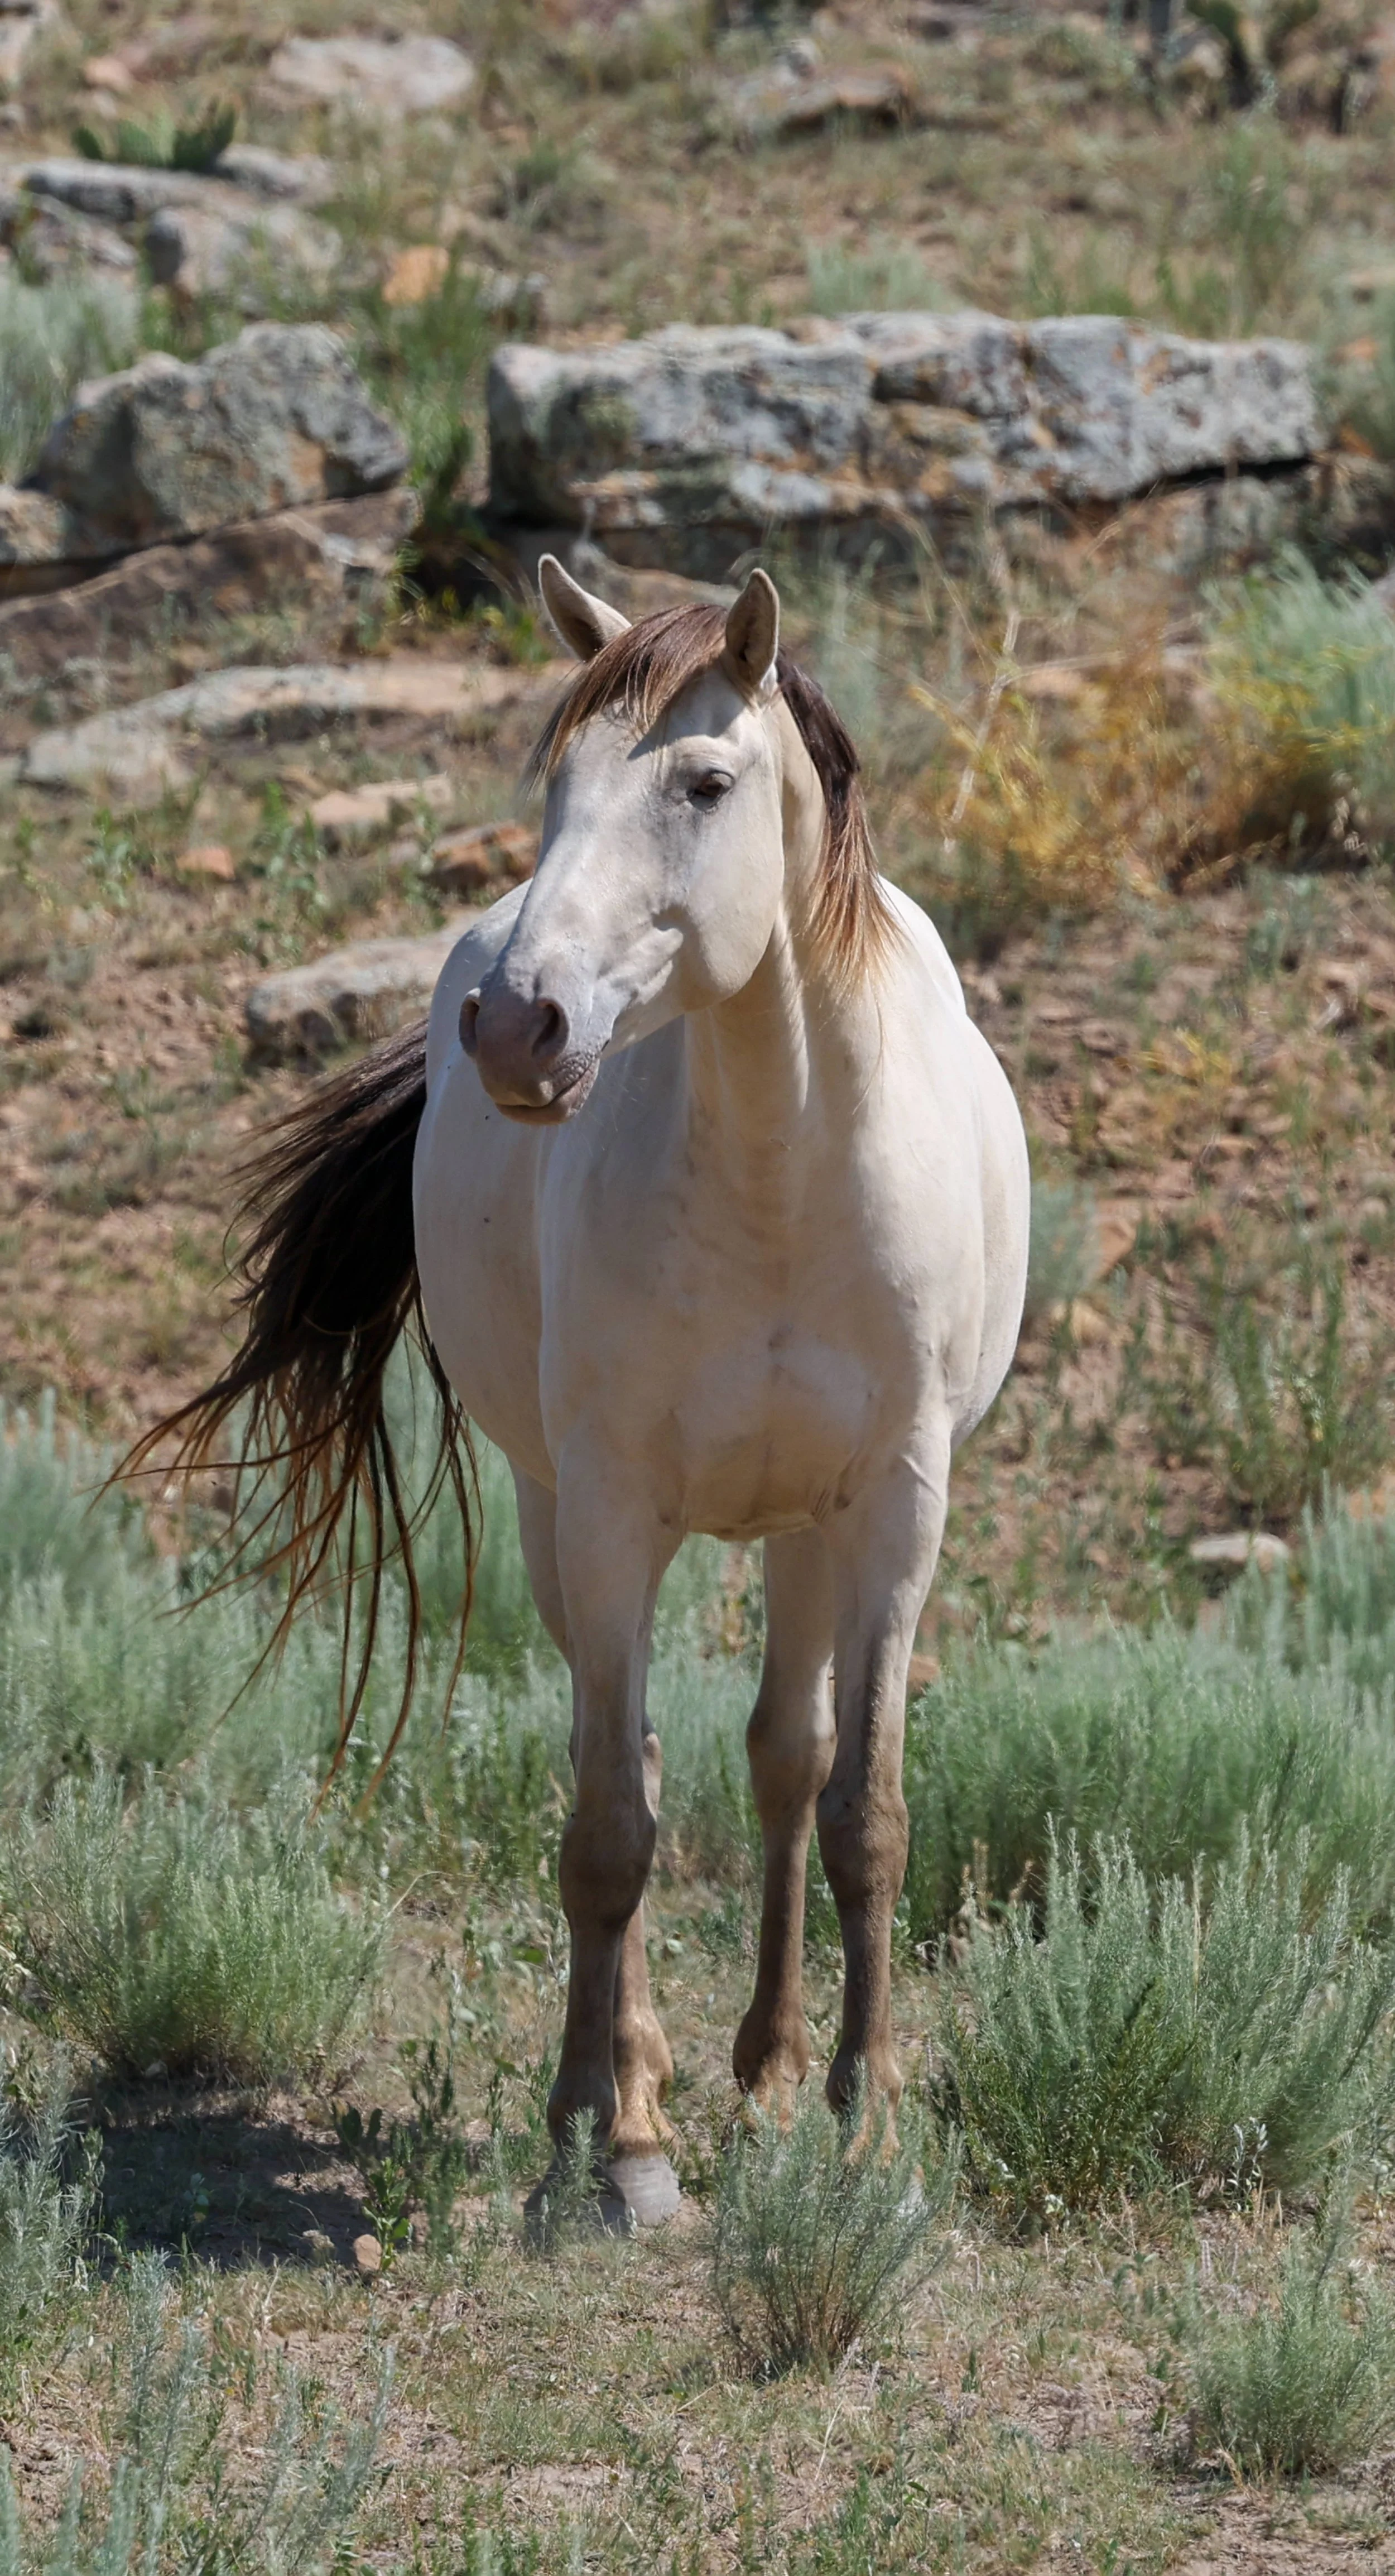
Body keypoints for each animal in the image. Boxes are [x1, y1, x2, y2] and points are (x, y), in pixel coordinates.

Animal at [134, 559, 1029, 2229]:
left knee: (783, 1758)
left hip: (804, 1528)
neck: (780, 1177)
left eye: (703, 780)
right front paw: (622, 2150)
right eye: (554, 783)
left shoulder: (898, 1506)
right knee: (635, 1772)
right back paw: (610, 2089)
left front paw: (866, 2127)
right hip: (565, 1524)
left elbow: (864, 1808)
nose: (515, 1024)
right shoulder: (613, 1513)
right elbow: (610, 1828)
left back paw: (767, 2066)